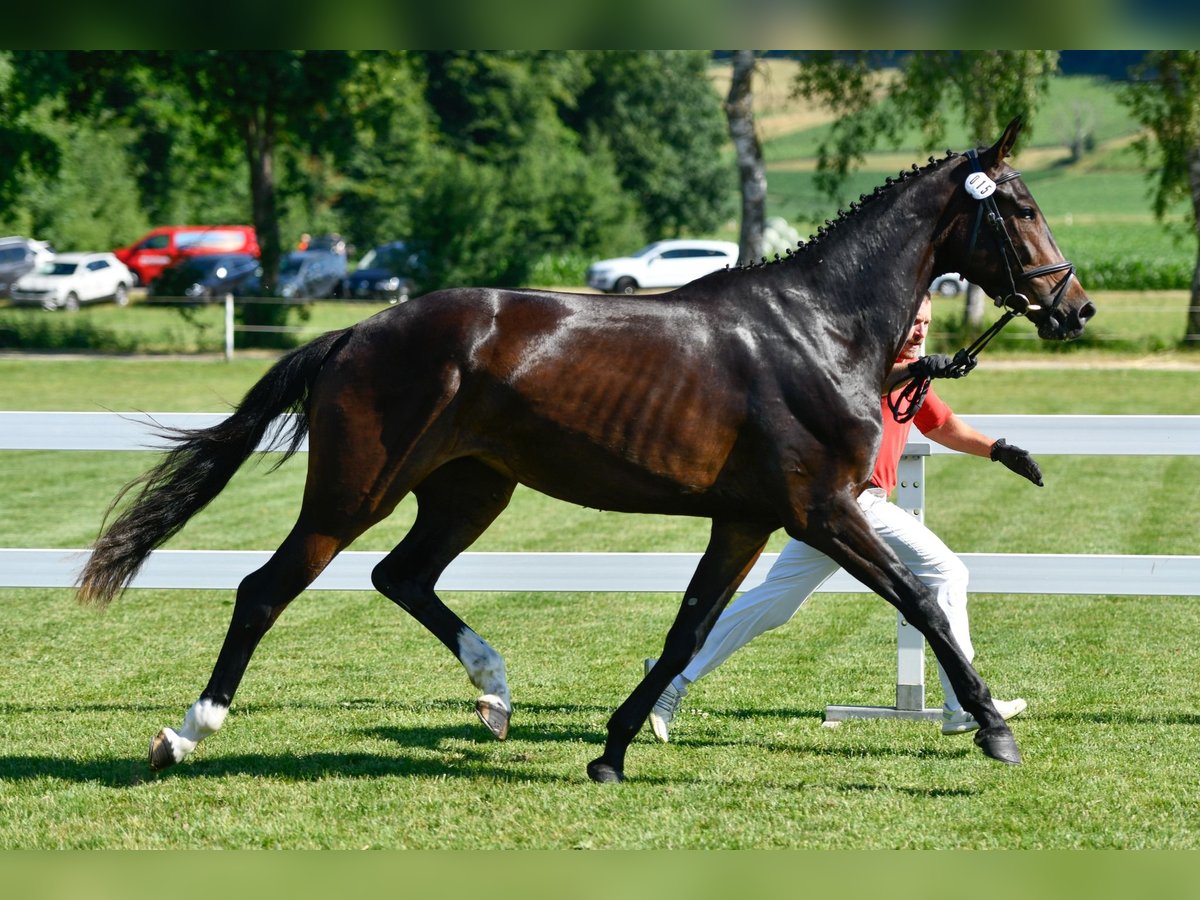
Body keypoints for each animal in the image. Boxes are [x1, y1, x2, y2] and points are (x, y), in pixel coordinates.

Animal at [78, 117, 1094, 784]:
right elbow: (918, 603)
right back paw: (186, 733)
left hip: (469, 491)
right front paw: (995, 729)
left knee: (401, 576)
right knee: (266, 589)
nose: (1075, 307)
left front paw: (610, 751)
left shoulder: (745, 520)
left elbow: (689, 627)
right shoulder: (820, 510)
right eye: (1021, 206)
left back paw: (494, 694)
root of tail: (357, 333)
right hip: (353, 490)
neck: (817, 327)